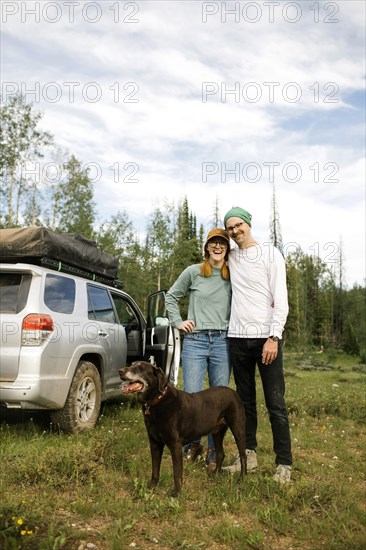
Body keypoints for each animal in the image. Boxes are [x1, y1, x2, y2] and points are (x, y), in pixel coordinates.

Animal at [120, 362, 246, 500]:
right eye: (131, 364)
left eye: (140, 368)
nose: (120, 371)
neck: (156, 399)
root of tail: (234, 393)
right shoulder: (154, 443)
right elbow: (155, 468)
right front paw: (151, 487)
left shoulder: (175, 445)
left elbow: (177, 472)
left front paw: (176, 493)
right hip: (217, 431)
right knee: (220, 453)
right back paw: (215, 475)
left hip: (238, 428)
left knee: (243, 455)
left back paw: (241, 479)